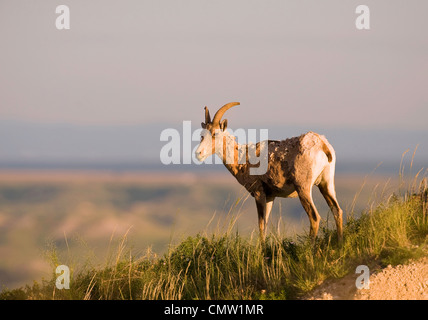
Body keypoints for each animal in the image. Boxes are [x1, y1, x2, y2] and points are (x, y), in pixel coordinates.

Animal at [196, 101, 342, 241]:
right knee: (337, 210)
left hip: (303, 187)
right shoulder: (270, 196)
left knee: (314, 216)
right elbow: (265, 223)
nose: (198, 153)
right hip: (326, 184)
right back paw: (340, 243)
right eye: (202, 135)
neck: (244, 156)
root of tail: (321, 144)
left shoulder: (259, 192)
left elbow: (261, 224)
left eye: (215, 133)